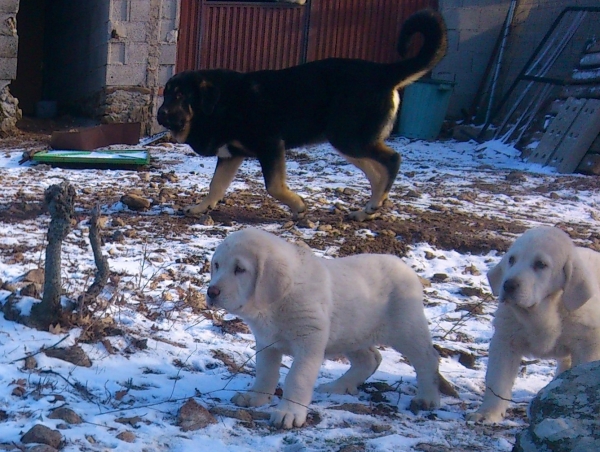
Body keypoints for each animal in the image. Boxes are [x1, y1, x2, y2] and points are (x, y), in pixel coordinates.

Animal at [157, 8, 448, 221]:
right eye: (165, 93)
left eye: (180, 96)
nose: (160, 115)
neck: (220, 104)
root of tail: (383, 72)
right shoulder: (231, 155)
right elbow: (215, 185)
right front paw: (200, 207)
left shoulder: (270, 145)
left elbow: (273, 186)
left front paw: (298, 206)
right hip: (347, 141)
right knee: (377, 173)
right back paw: (369, 210)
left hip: (348, 138)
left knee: (392, 161)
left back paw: (374, 203)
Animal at [207, 228, 454, 430]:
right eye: (216, 265)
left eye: (240, 269)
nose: (211, 292)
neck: (277, 304)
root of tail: (406, 267)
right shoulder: (267, 342)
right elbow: (265, 372)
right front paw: (256, 398)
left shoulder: (309, 341)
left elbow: (297, 377)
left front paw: (289, 412)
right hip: (352, 332)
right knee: (370, 359)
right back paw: (337, 386)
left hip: (406, 328)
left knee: (427, 359)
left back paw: (428, 398)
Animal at [468, 226, 600, 424]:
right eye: (511, 260)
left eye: (540, 264)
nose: (508, 285)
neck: (541, 311)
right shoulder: (505, 340)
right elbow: (497, 380)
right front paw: (488, 413)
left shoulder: (588, 344)